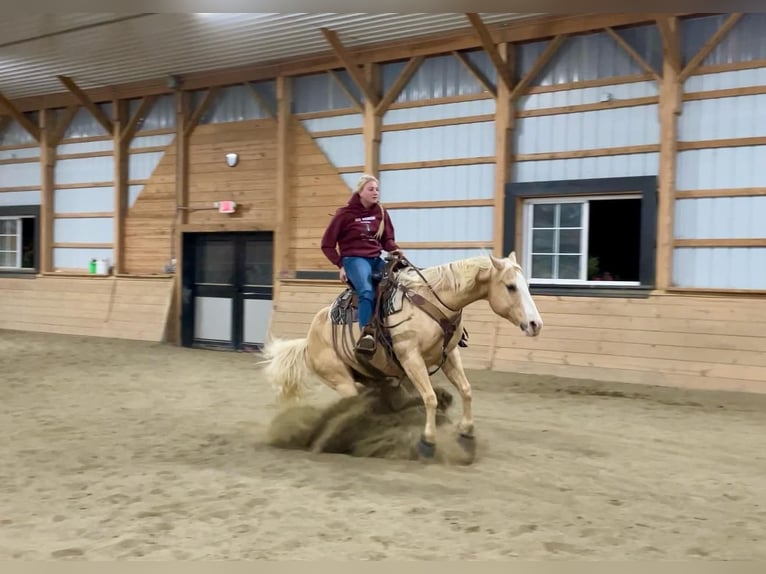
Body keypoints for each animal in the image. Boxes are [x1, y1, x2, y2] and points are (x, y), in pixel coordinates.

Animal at [260, 254, 544, 462]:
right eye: (510, 286)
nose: (535, 324)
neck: (432, 301)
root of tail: (309, 341)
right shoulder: (411, 358)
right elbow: (428, 398)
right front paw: (428, 442)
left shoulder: (449, 355)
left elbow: (465, 390)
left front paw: (466, 434)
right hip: (342, 380)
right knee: (366, 405)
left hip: (378, 377)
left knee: (393, 402)